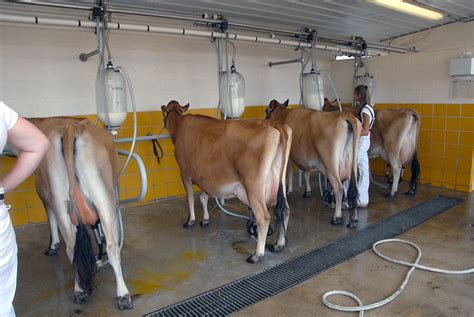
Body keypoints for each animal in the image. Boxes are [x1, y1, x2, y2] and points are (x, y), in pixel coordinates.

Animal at [22, 117, 131, 308]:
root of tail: (70, 127)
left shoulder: (46, 199)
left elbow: (50, 220)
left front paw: (52, 245)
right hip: (100, 197)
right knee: (98, 247)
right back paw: (108, 293)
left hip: (68, 199)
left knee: (83, 248)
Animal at [161, 100, 290, 262]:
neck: (179, 124)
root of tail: (275, 125)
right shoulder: (204, 175)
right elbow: (203, 197)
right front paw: (205, 219)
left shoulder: (185, 172)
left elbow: (190, 198)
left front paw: (190, 221)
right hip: (281, 180)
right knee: (284, 210)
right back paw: (279, 244)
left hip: (254, 187)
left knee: (264, 217)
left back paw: (257, 254)